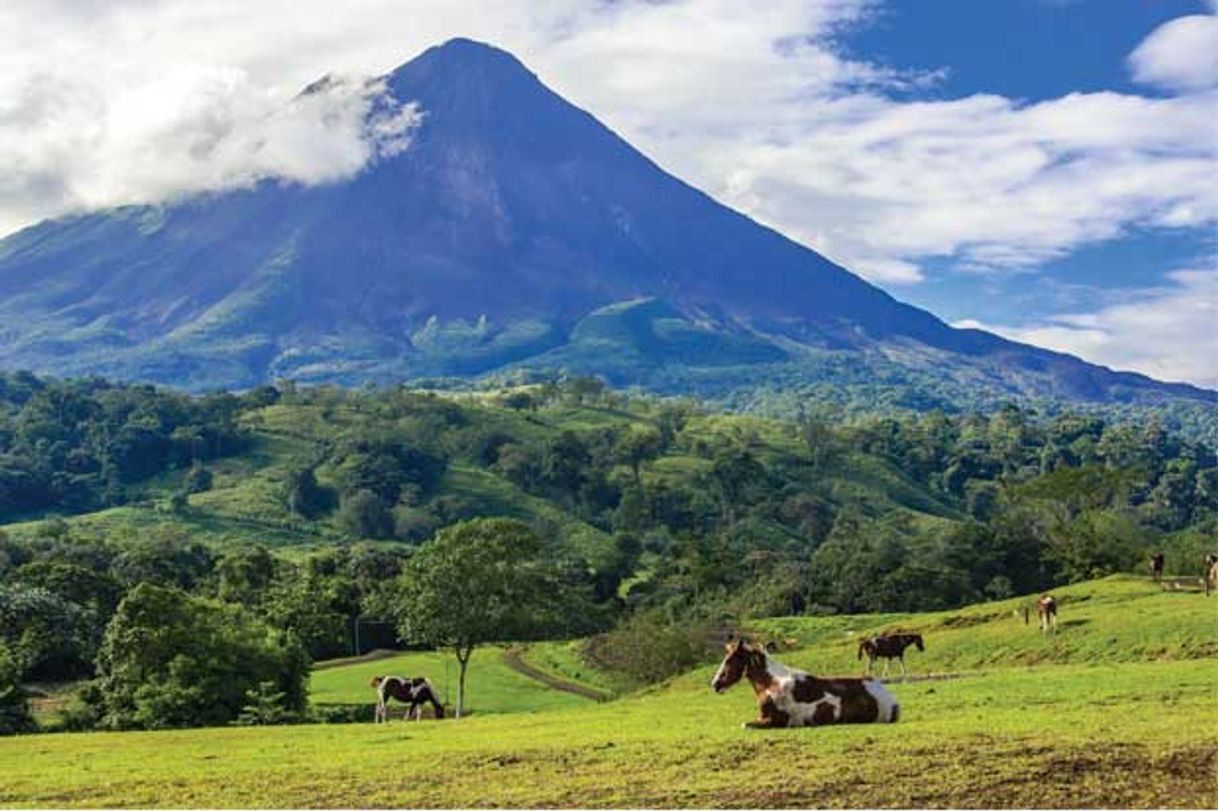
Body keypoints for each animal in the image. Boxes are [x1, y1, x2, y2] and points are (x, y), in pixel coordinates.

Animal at [711, 633, 901, 725]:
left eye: (729, 660)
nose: (715, 684)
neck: (771, 684)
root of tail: (892, 700)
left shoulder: (777, 720)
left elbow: (744, 724)